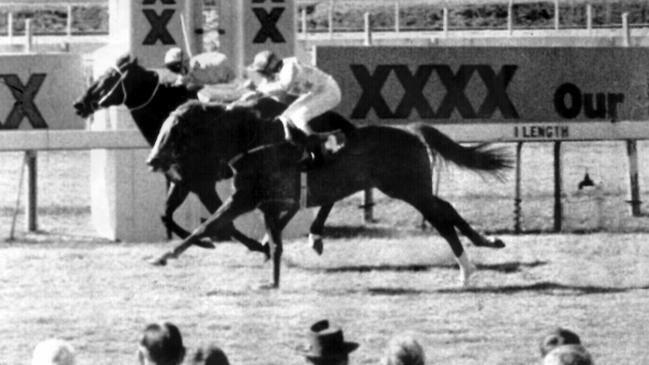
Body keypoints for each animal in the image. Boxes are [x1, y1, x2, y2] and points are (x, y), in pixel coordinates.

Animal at [146, 100, 512, 288]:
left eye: (174, 129)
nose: (154, 160)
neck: (250, 139)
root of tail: (411, 131)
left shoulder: (243, 198)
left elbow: (206, 227)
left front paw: (164, 256)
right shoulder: (262, 201)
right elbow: (266, 236)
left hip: (406, 188)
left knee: (440, 218)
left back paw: (467, 269)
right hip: (407, 188)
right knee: (445, 208)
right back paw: (485, 245)